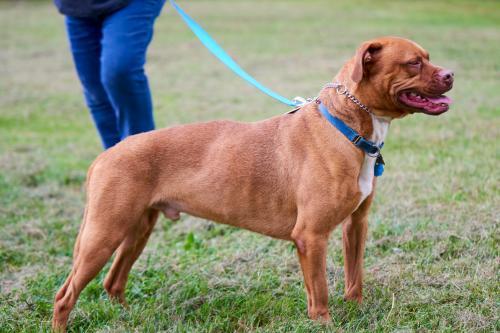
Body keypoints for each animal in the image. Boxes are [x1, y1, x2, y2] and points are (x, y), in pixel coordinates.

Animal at [51, 37, 454, 330]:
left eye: (429, 57)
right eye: (413, 63)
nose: (451, 74)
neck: (346, 126)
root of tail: (105, 155)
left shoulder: (355, 225)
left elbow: (355, 277)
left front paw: (356, 310)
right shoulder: (311, 236)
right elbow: (320, 291)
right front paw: (325, 322)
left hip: (136, 229)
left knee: (113, 282)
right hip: (104, 233)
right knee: (65, 295)